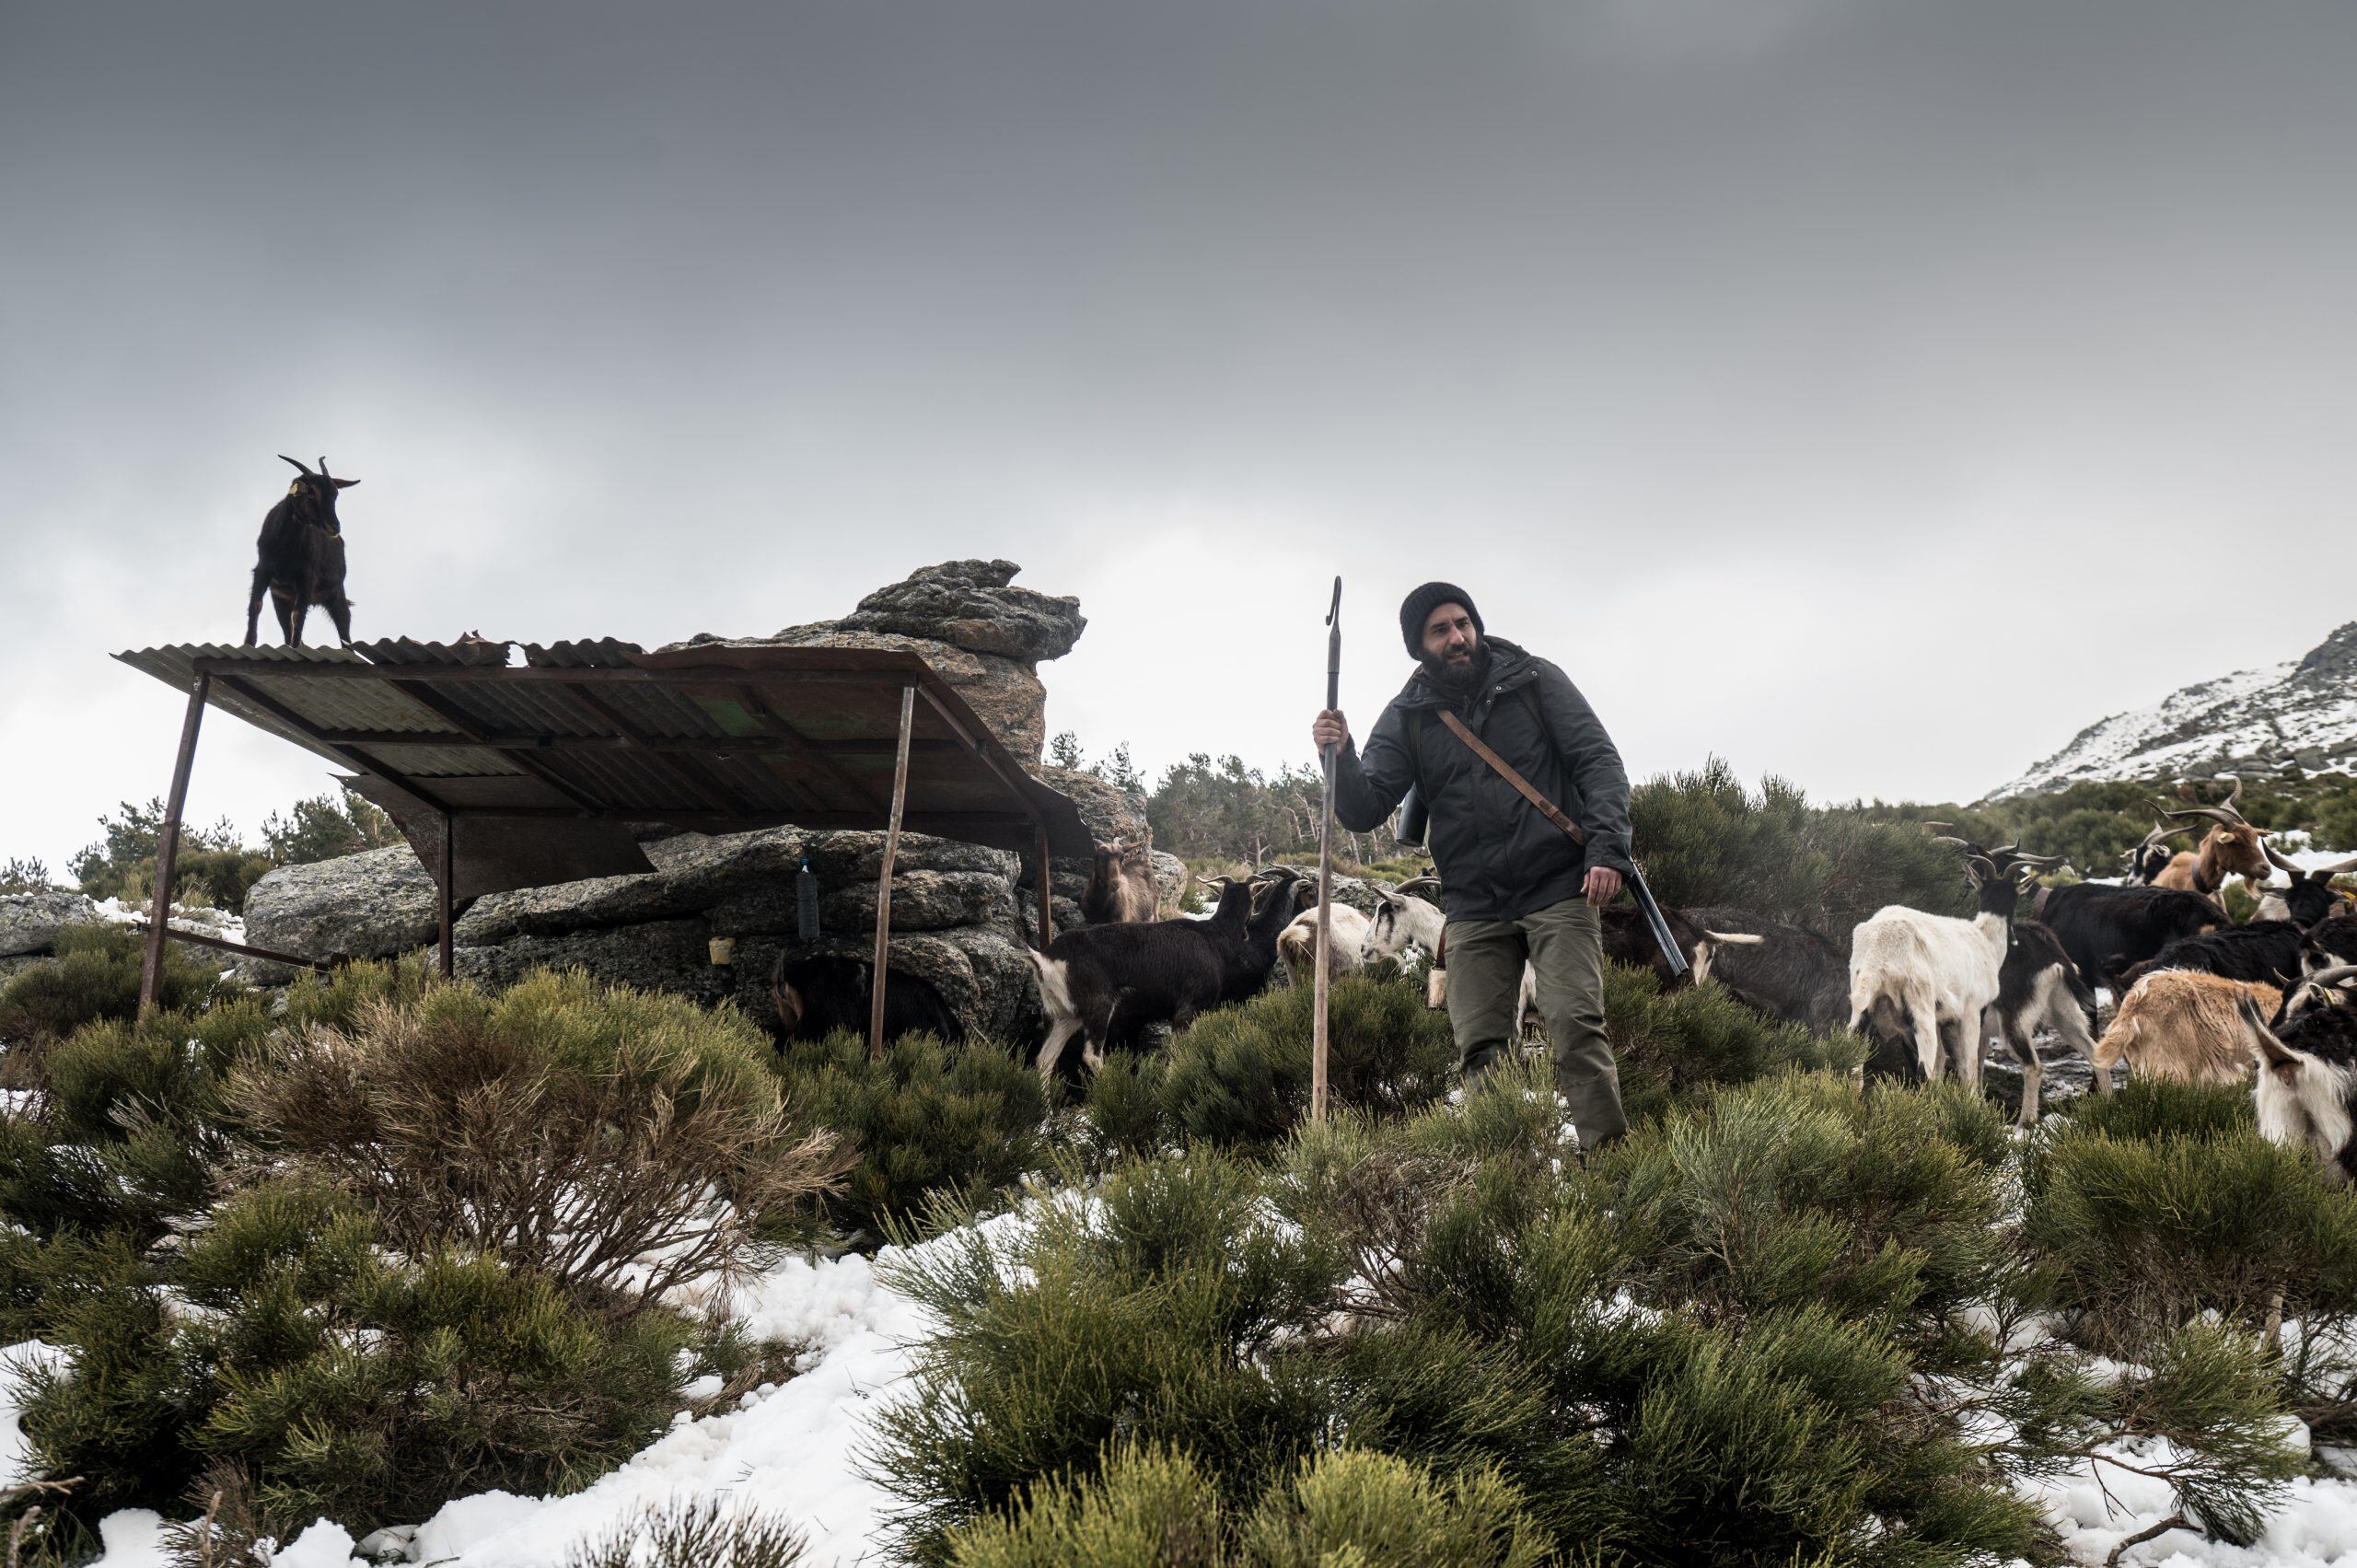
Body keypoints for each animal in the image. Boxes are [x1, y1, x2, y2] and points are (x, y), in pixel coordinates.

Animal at [245, 452, 358, 645]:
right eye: (311, 493)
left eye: (335, 494)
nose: (335, 526)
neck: (285, 548)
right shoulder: (264, 570)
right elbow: (256, 605)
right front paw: (248, 643)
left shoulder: (306, 577)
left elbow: (298, 616)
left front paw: (295, 646)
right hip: (282, 598)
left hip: (335, 594)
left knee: (345, 631)